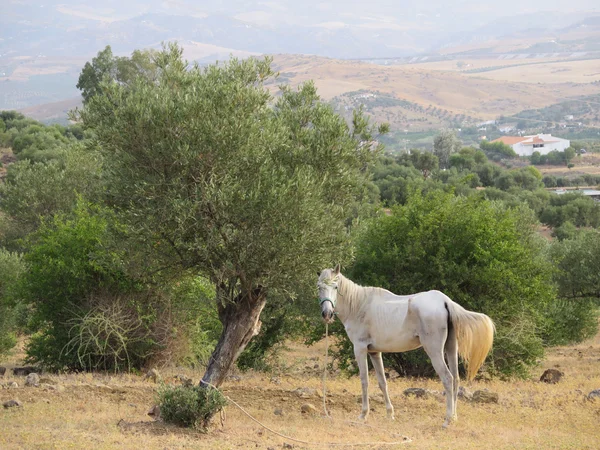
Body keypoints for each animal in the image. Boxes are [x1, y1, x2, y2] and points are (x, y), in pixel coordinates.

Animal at [316, 266, 494, 428]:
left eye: (335, 287)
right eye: (319, 287)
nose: (327, 314)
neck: (359, 305)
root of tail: (445, 301)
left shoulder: (360, 349)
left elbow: (364, 380)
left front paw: (363, 415)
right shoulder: (375, 352)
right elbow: (382, 382)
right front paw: (390, 414)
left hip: (434, 352)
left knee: (448, 379)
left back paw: (447, 420)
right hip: (451, 349)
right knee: (456, 379)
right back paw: (454, 417)